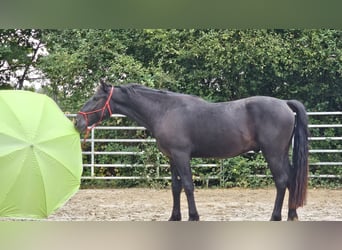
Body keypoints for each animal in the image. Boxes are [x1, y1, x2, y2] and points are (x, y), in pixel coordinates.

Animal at [75, 81, 310, 221]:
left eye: (95, 98)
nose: (77, 121)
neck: (165, 110)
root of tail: (284, 104)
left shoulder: (181, 155)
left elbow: (188, 186)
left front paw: (193, 216)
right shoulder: (171, 158)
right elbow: (175, 188)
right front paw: (174, 217)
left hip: (273, 153)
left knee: (281, 181)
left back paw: (275, 216)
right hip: (281, 153)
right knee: (291, 179)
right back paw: (292, 214)